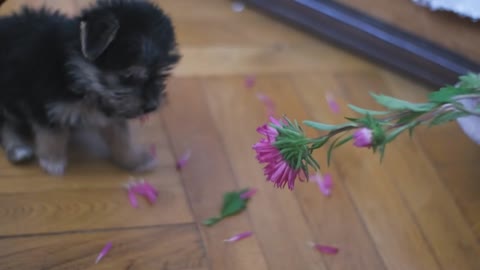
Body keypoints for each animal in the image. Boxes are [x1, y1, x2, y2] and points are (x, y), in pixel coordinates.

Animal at [0, 0, 181, 175]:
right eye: (129, 75)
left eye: (162, 73)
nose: (152, 107)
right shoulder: (44, 103)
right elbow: (52, 134)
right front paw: (53, 161)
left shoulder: (113, 108)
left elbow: (121, 136)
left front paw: (133, 159)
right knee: (5, 124)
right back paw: (18, 149)